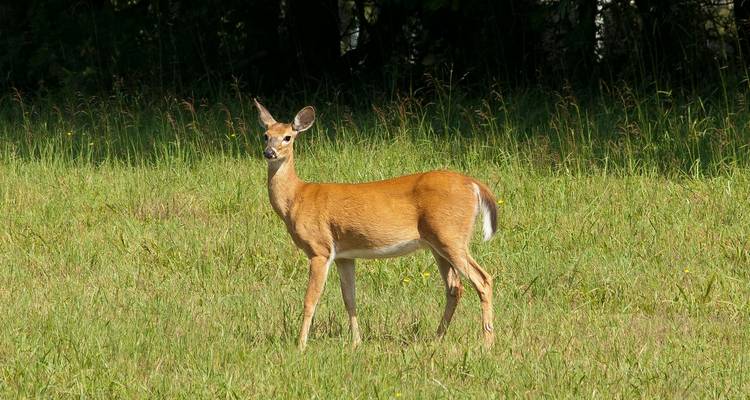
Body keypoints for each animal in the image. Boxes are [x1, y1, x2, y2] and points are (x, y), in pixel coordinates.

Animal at [253, 99, 498, 350]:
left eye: (288, 137)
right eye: (265, 135)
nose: (269, 152)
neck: (296, 197)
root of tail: (474, 185)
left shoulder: (319, 249)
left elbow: (310, 299)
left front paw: (300, 345)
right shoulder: (344, 255)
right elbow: (349, 299)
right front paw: (356, 342)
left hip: (451, 235)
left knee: (483, 279)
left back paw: (487, 343)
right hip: (437, 244)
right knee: (454, 287)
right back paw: (437, 337)